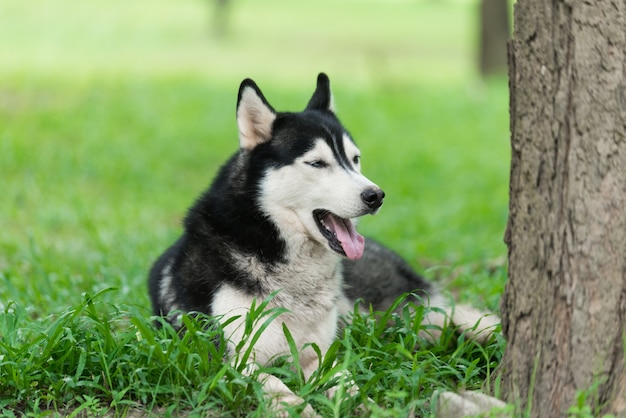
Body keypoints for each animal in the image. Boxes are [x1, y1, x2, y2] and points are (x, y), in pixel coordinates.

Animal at [149, 74, 494, 412]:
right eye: (317, 163)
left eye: (355, 159)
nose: (376, 195)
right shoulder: (232, 360)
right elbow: (278, 388)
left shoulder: (320, 356)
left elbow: (349, 386)